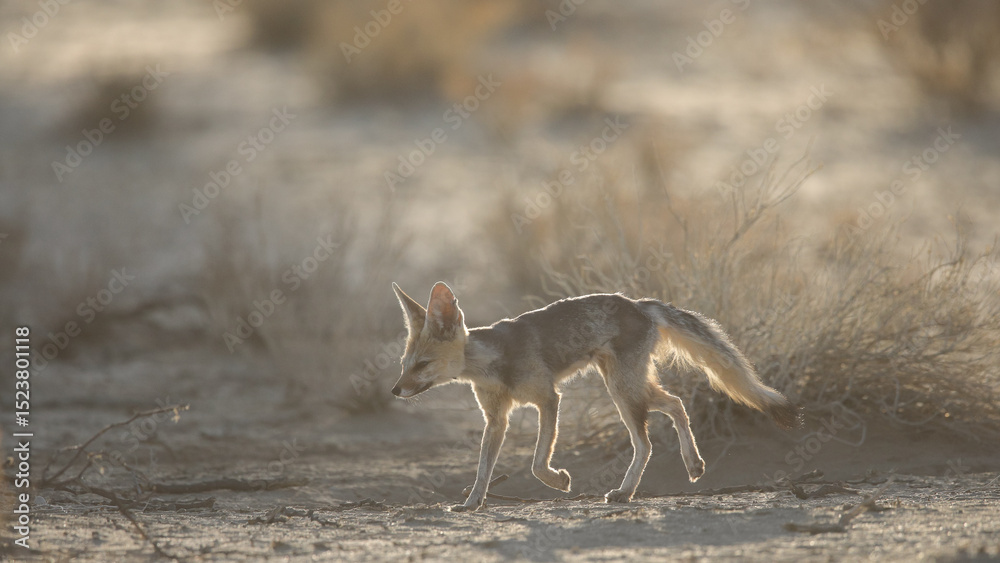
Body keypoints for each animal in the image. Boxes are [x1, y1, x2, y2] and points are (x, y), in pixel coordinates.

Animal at [390, 281, 800, 511]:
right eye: (404, 365)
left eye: (422, 365)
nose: (395, 390)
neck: (495, 362)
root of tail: (638, 303)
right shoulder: (497, 419)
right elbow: (482, 470)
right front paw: (472, 502)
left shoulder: (549, 399)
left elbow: (537, 464)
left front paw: (559, 481)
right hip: (630, 387)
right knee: (676, 404)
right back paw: (693, 464)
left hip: (622, 391)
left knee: (646, 442)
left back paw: (625, 492)